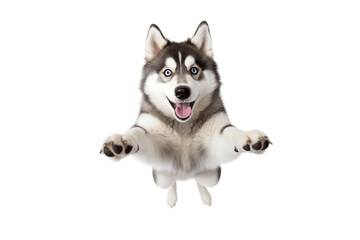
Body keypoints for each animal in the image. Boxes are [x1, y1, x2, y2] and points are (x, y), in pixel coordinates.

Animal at [100, 21, 270, 207]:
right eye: (167, 72)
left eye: (194, 70)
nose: (182, 91)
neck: (183, 125)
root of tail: (186, 176)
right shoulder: (156, 144)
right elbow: (137, 132)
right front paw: (122, 140)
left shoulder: (214, 140)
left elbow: (230, 132)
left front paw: (248, 137)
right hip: (161, 178)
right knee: (172, 182)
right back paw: (172, 197)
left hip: (212, 176)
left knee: (200, 181)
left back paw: (205, 195)